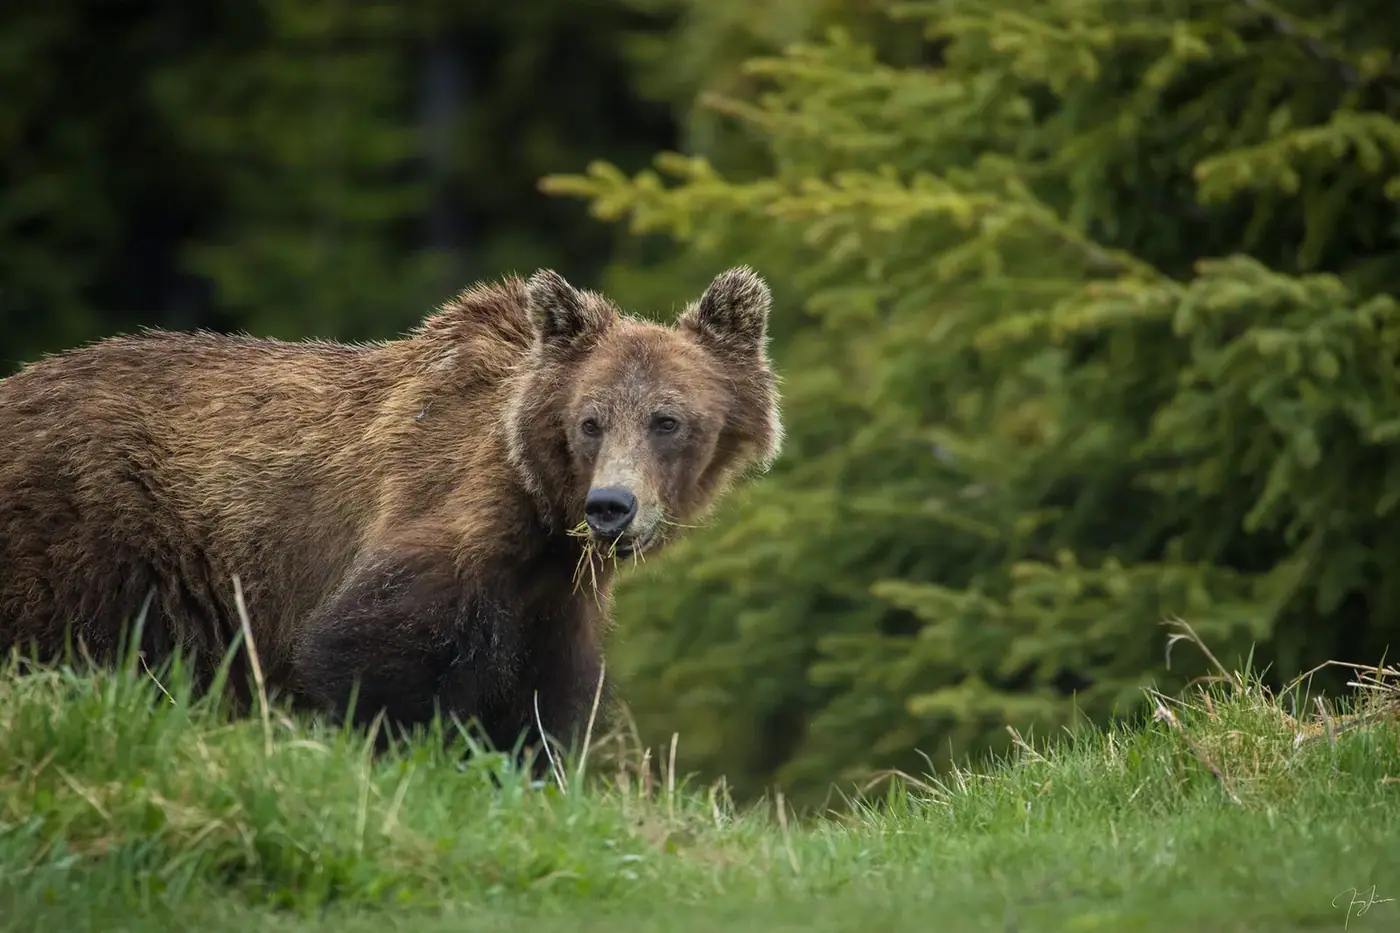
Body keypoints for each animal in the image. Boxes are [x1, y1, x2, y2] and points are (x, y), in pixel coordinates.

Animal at [0, 266, 782, 761]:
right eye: (589, 421)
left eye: (666, 420)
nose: (611, 507)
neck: (541, 517)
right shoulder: (444, 523)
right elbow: (369, 651)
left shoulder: (554, 599)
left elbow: (543, 709)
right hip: (87, 528)